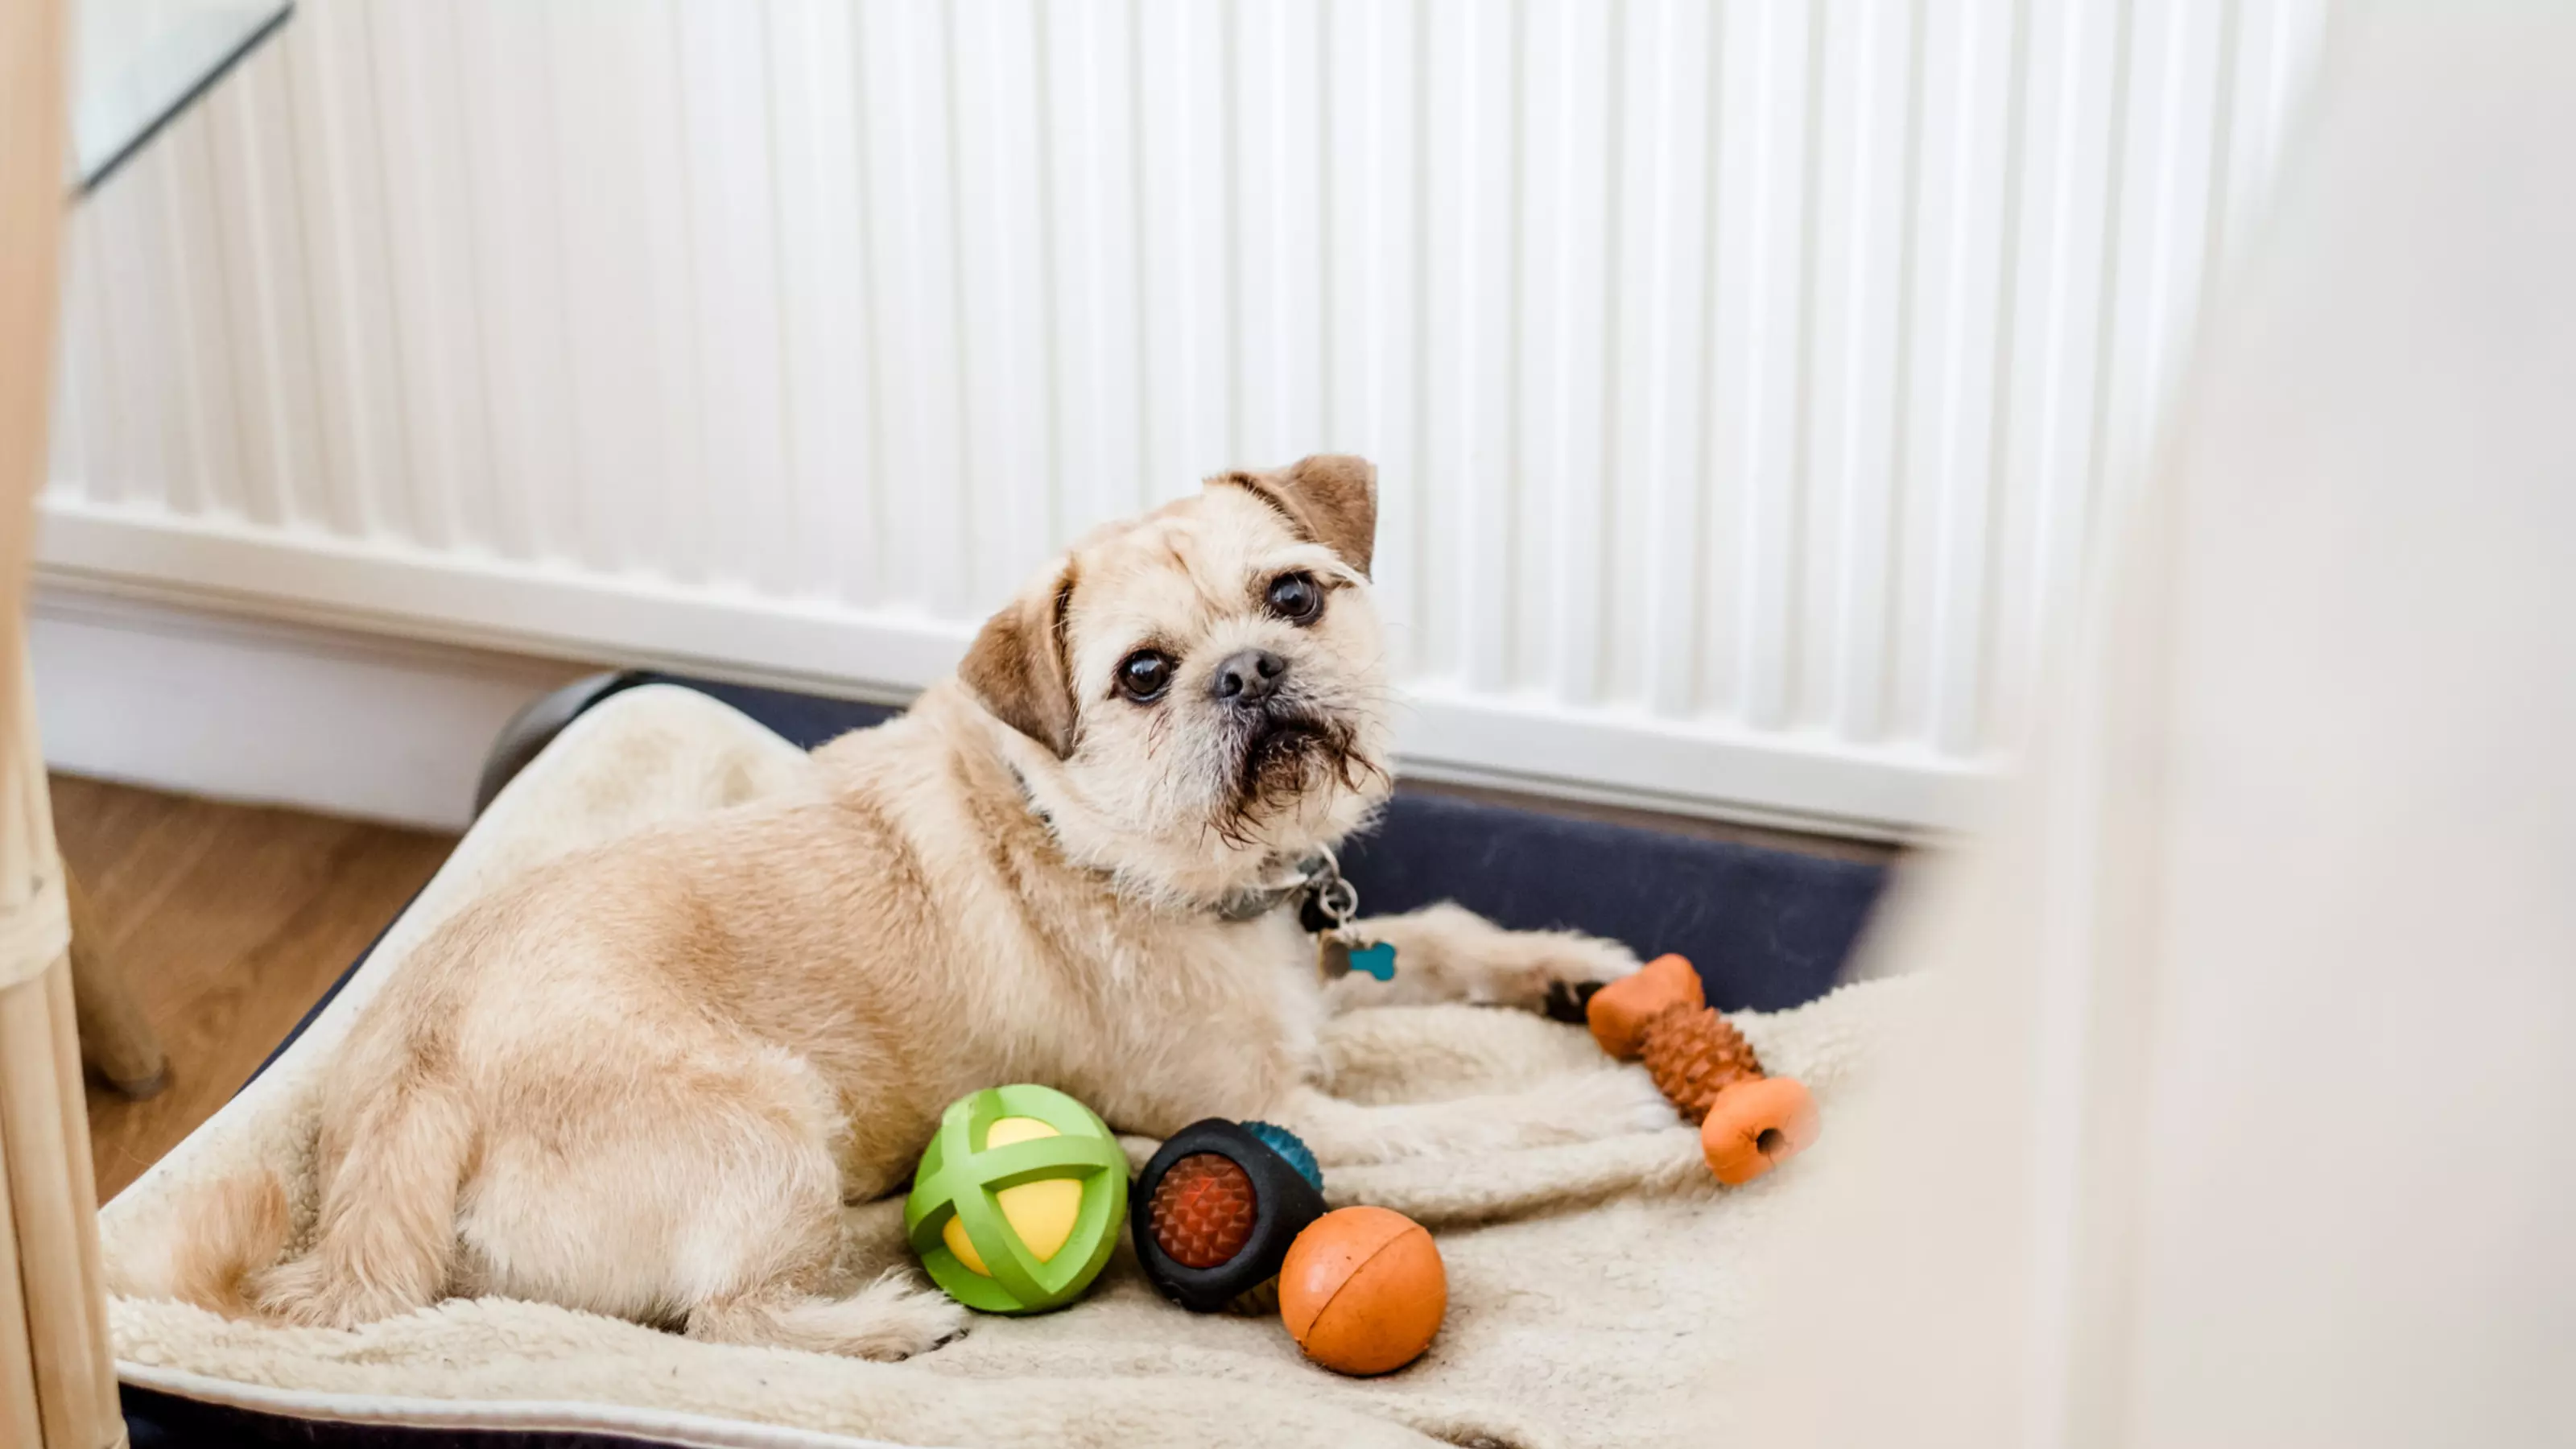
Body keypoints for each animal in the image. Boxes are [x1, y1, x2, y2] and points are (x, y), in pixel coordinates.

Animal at [141, 459, 1669, 1351]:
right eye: (1143, 676)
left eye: (1295, 596)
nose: (1247, 671)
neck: (1139, 855)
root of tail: (408, 1099)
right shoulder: (1286, 1114)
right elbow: (1475, 1123)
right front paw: (1619, 1102)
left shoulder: (1327, 959)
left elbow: (1451, 938)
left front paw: (1575, 972)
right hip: (775, 1128)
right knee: (727, 1327)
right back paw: (884, 1323)